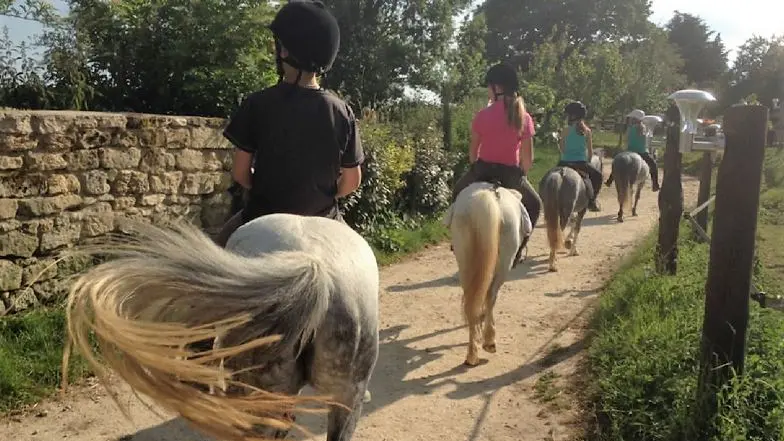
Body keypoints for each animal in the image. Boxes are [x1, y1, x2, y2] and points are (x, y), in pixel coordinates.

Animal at [444, 180, 528, 366]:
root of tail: (488, 196)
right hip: (504, 262)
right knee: (490, 296)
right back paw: (489, 341)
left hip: (464, 259)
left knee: (471, 299)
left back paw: (472, 353)